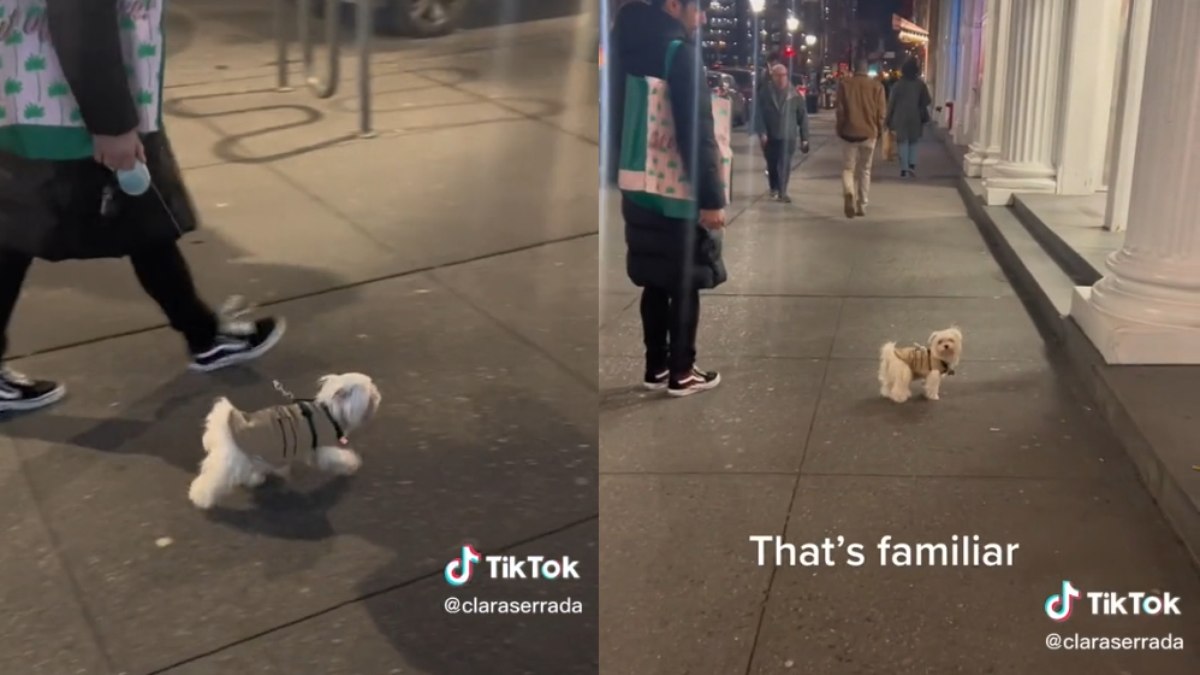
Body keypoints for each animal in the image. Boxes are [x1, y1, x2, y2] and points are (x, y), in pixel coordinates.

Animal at [187, 369, 379, 506]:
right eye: (370, 389)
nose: (378, 394)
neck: (329, 411)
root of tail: (225, 425)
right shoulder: (322, 448)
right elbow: (338, 457)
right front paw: (352, 464)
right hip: (230, 463)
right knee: (212, 480)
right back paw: (200, 497)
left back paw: (255, 479)